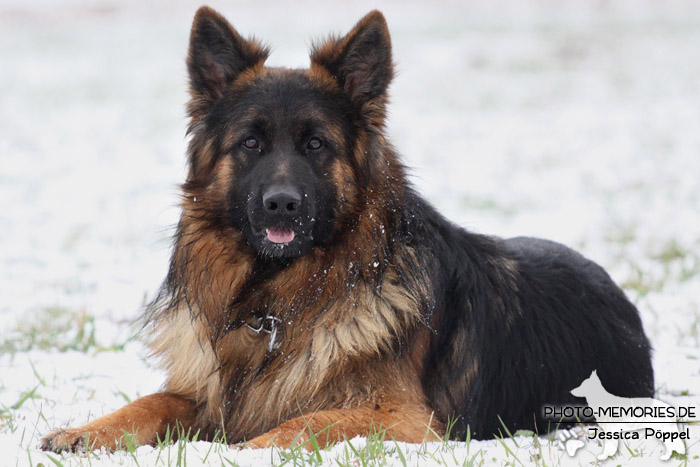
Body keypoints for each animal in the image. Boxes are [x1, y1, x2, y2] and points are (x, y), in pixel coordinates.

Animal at [41, 6, 656, 454]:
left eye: (316, 144)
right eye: (251, 143)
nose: (281, 204)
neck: (276, 303)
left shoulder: (406, 417)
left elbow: (308, 420)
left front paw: (247, 450)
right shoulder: (207, 392)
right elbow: (153, 401)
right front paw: (86, 431)